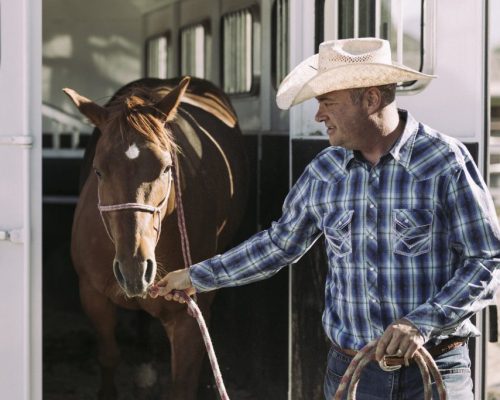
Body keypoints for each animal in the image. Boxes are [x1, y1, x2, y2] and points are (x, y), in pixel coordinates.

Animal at [64, 76, 248, 398]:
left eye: (166, 168)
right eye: (98, 171)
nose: (134, 267)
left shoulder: (187, 319)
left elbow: (183, 384)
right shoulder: (93, 296)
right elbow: (108, 356)